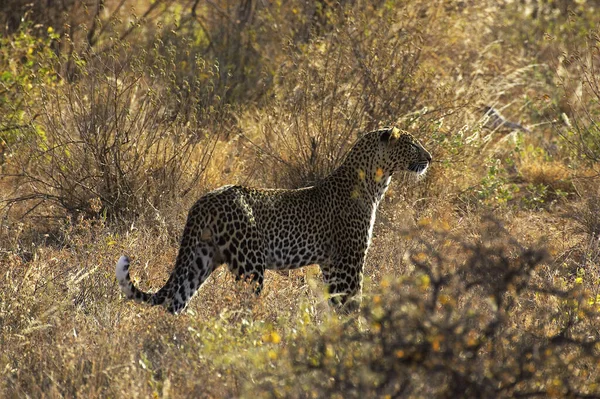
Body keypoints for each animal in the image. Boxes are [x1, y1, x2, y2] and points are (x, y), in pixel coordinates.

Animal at [115, 126, 432, 314]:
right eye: (412, 145)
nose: (430, 157)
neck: (375, 184)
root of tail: (204, 200)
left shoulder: (331, 264)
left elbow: (338, 306)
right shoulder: (348, 261)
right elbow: (352, 304)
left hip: (200, 258)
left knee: (175, 301)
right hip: (250, 265)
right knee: (243, 307)